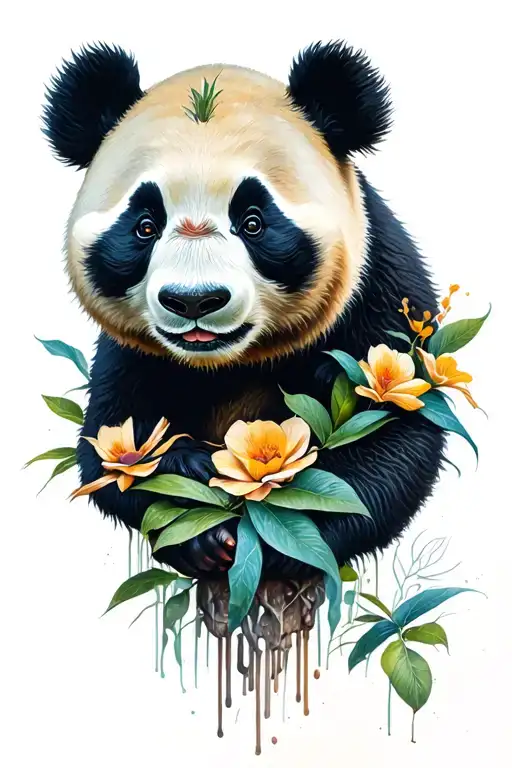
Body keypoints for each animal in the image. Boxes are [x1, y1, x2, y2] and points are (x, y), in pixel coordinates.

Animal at [42, 41, 444, 579]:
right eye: (145, 225)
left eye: (253, 221)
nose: (194, 300)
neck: (228, 361)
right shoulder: (131, 351)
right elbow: (112, 442)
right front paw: (199, 516)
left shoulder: (378, 285)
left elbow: (395, 430)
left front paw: (284, 540)